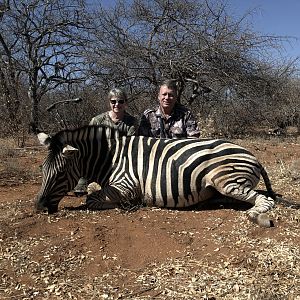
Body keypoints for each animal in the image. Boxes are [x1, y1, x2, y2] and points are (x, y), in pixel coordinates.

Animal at [36, 125, 278, 227]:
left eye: (60, 174)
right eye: (42, 170)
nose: (39, 207)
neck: (110, 158)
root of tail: (254, 156)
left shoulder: (127, 184)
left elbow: (92, 198)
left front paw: (126, 204)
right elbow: (92, 196)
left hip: (227, 181)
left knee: (264, 200)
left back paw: (258, 217)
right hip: (222, 186)